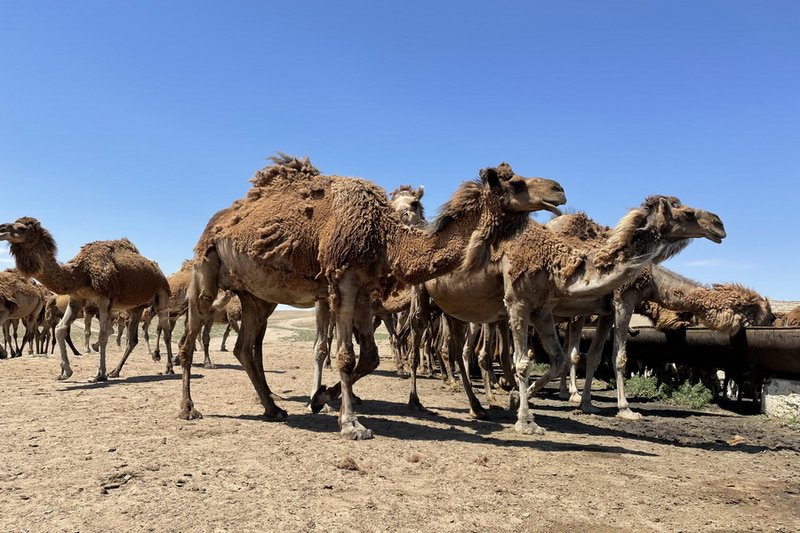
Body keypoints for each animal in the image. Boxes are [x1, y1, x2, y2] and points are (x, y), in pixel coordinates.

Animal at [0, 218, 175, 380]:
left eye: (22, 228)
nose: (1, 229)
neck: (81, 274)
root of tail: (158, 271)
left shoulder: (104, 300)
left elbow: (103, 335)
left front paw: (99, 374)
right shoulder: (77, 299)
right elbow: (60, 329)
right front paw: (65, 372)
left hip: (162, 295)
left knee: (166, 331)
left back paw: (169, 368)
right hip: (135, 307)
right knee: (132, 340)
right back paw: (115, 371)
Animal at [178, 153, 564, 436]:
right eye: (516, 183)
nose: (559, 190)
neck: (384, 236)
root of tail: (218, 222)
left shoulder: (364, 292)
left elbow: (370, 358)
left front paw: (323, 398)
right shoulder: (343, 282)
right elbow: (345, 356)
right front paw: (351, 424)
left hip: (258, 296)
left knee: (245, 347)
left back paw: (273, 408)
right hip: (206, 270)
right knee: (191, 337)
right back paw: (188, 408)